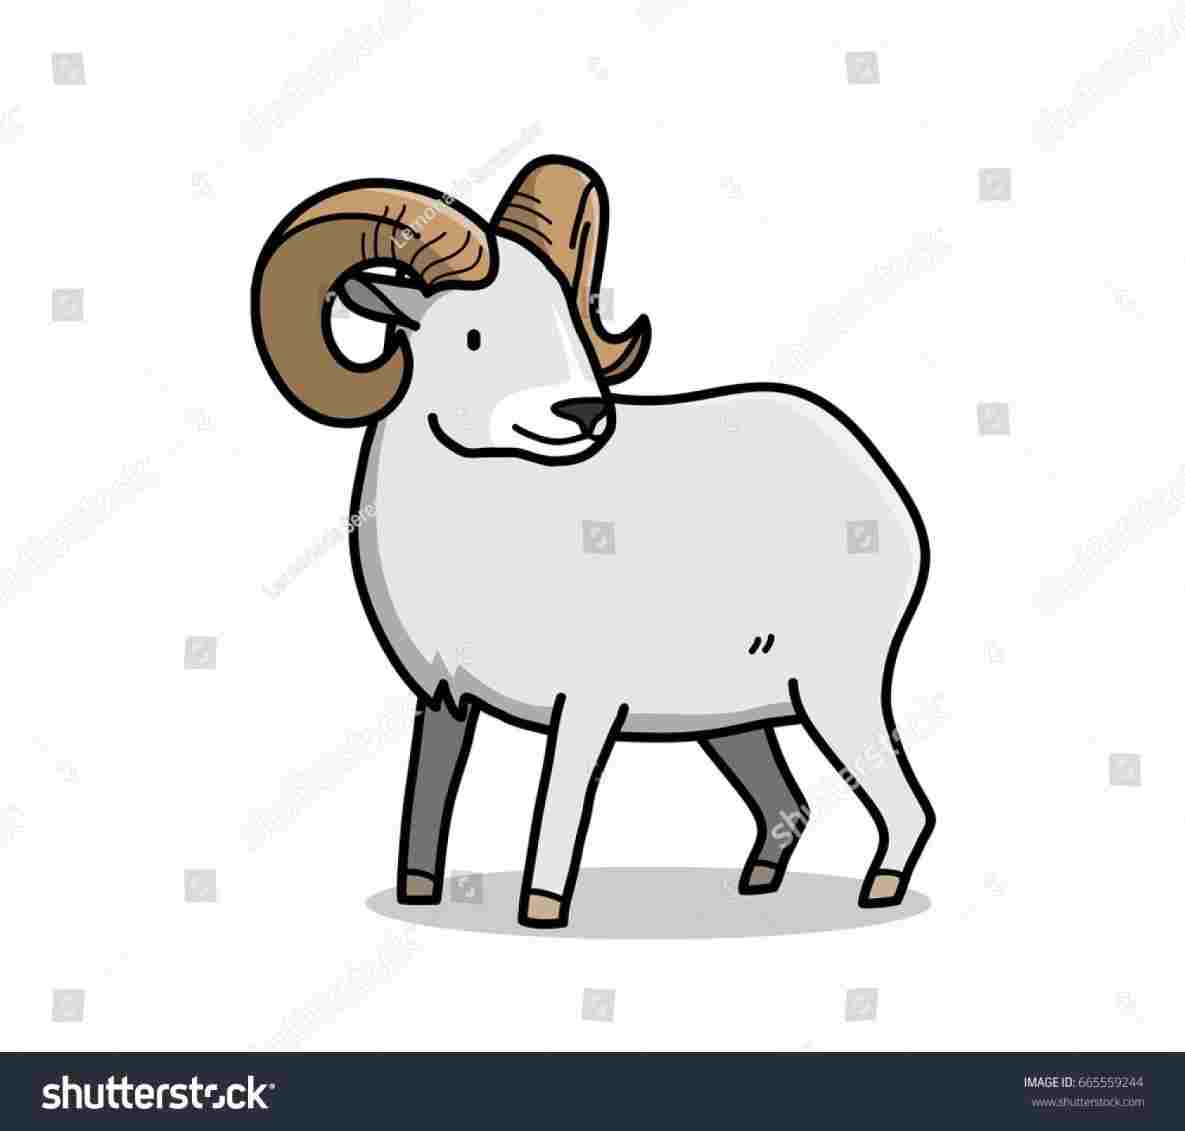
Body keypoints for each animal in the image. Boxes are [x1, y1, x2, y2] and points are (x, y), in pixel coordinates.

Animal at [250, 155, 935, 929]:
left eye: (567, 329)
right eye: (473, 336)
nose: (583, 413)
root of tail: (880, 484)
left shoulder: (584, 711)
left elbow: (556, 811)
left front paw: (540, 912)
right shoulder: (443, 701)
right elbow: (425, 807)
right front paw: (418, 896)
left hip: (835, 694)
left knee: (907, 808)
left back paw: (878, 891)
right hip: (733, 723)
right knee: (786, 806)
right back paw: (755, 885)